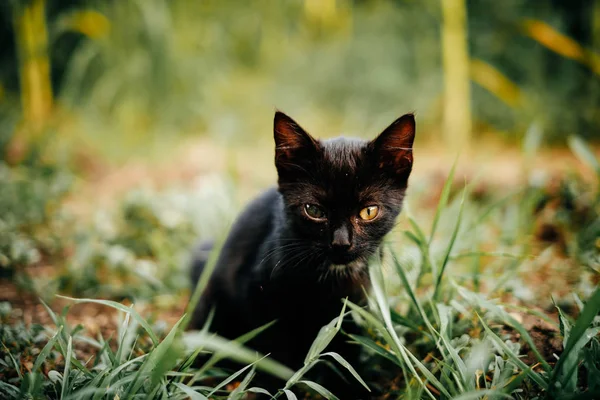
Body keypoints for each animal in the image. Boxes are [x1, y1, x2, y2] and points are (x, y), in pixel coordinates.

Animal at [190, 111, 414, 394]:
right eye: (314, 210)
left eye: (369, 211)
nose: (341, 243)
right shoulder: (258, 295)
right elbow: (274, 353)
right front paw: (278, 388)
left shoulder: (354, 307)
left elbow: (345, 354)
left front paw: (350, 387)